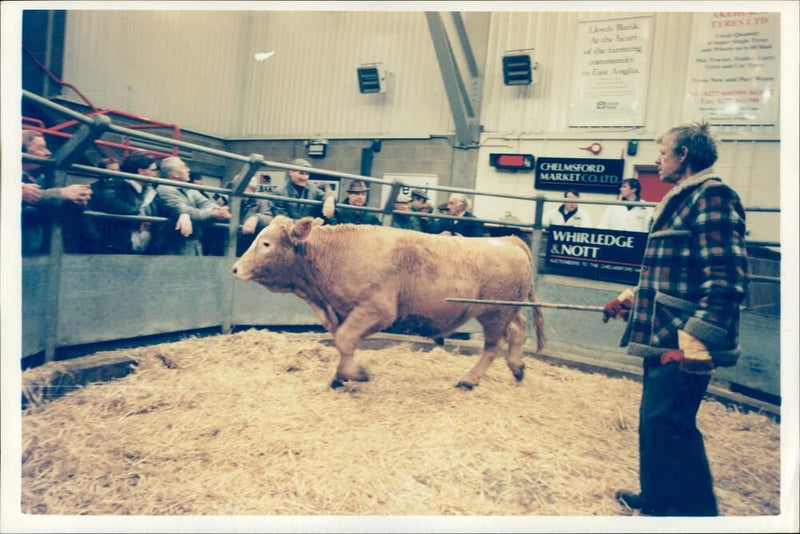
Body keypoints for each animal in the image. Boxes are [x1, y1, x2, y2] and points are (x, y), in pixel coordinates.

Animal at [231, 217, 544, 390]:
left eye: (266, 244)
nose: (235, 268)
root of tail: (508, 239)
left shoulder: (377, 311)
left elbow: (344, 339)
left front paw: (355, 374)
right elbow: (343, 341)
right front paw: (340, 376)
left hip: (494, 312)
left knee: (493, 345)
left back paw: (470, 379)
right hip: (505, 310)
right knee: (517, 329)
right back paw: (517, 368)